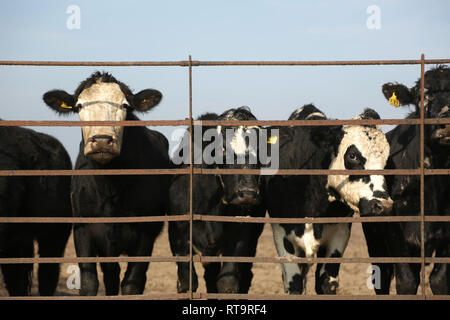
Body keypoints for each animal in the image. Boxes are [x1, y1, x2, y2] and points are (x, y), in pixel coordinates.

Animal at [42, 70, 171, 296]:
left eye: (125, 105)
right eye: (79, 106)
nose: (102, 140)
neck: (110, 188)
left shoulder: (145, 232)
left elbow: (132, 283)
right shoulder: (83, 230)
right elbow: (89, 282)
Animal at [169, 106, 268, 294]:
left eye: (261, 153)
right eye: (223, 150)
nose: (248, 193)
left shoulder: (240, 236)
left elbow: (227, 283)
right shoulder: (179, 236)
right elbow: (187, 282)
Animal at [266, 105, 392, 296]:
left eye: (386, 159)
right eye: (353, 155)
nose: (383, 205)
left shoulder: (339, 235)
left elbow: (327, 283)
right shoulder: (282, 234)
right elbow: (294, 285)